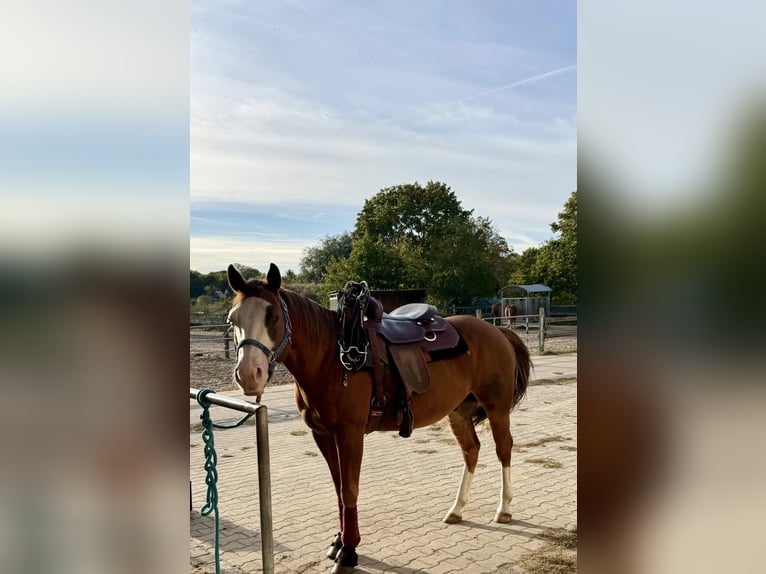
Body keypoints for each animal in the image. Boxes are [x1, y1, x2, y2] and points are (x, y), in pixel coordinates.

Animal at [226, 263, 532, 574]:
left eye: (273, 316)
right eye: (232, 320)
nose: (248, 375)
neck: (332, 357)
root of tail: (496, 330)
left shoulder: (350, 434)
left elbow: (349, 490)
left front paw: (348, 552)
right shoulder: (322, 435)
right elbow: (338, 489)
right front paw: (338, 542)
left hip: (496, 408)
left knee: (503, 449)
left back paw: (504, 509)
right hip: (458, 411)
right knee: (471, 451)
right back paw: (456, 509)